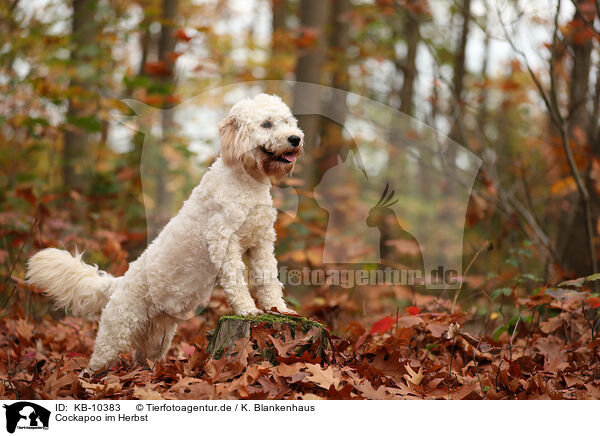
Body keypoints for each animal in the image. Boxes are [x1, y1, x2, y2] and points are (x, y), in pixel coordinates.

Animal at [25, 93, 302, 372]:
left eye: (287, 121)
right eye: (266, 124)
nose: (295, 139)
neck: (247, 182)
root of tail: (118, 283)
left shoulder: (262, 242)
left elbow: (268, 278)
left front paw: (279, 308)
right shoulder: (223, 241)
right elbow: (236, 281)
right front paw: (248, 310)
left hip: (157, 340)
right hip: (115, 334)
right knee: (96, 364)